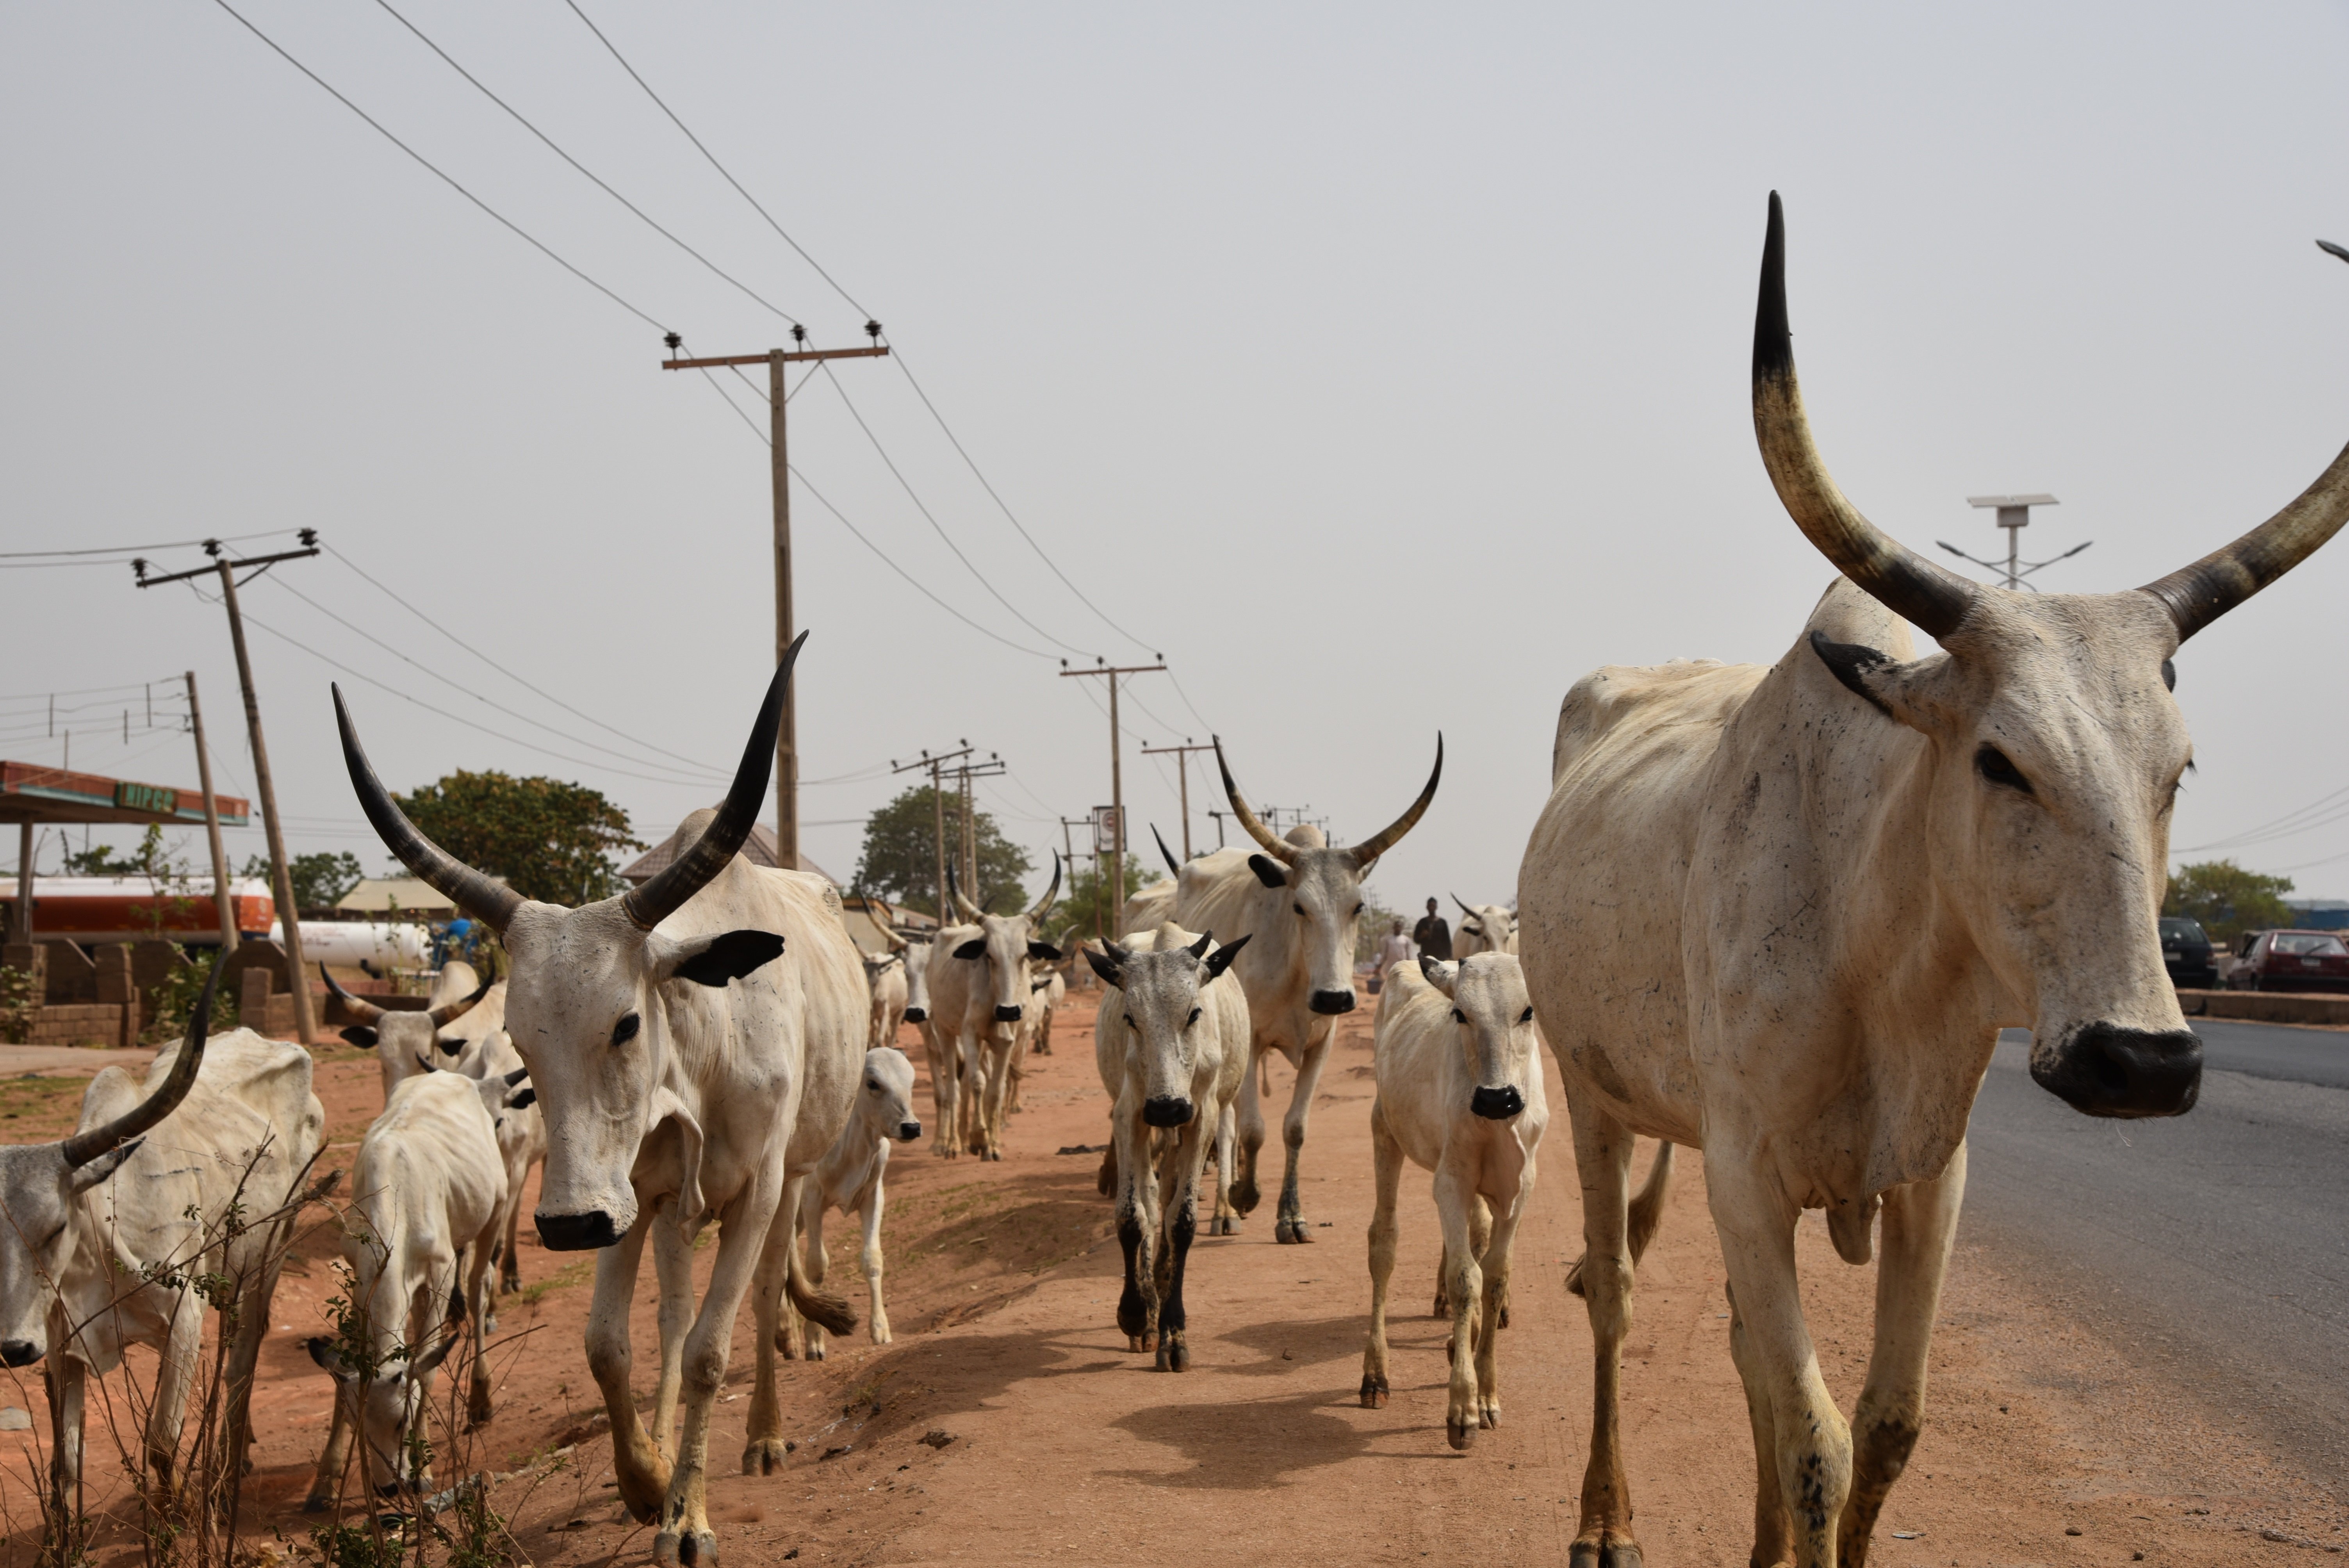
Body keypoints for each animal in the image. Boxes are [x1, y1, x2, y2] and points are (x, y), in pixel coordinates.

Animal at [333, 638, 873, 1568]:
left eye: (625, 1021)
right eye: (517, 1035)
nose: (566, 1226)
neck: (699, 1048)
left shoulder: (752, 1187)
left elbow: (710, 1351)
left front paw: (688, 1518)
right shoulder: (625, 1194)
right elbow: (611, 1346)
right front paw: (647, 1478)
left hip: (791, 1174)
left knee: (767, 1286)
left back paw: (765, 1431)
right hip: (661, 1208)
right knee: (671, 1314)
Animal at [1372, 948, 1550, 1455]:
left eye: (1527, 1011)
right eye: (1460, 1014)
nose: (1496, 1098)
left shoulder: (1519, 1187)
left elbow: (1495, 1276)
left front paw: (1487, 1392)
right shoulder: (1451, 1182)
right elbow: (1466, 1277)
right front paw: (1464, 1406)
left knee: (1476, 1235)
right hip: (1384, 1130)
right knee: (1383, 1243)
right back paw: (1375, 1374)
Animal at [1513, 190, 2339, 1558]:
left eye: (2177, 767)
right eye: (2000, 760)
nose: (2142, 1063)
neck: (1870, 943)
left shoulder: (1929, 1182)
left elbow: (1882, 1427)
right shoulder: (1742, 1171)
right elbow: (1815, 1441)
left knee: (1740, 1350)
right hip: (1592, 1098)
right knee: (1616, 1297)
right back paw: (1603, 1518)